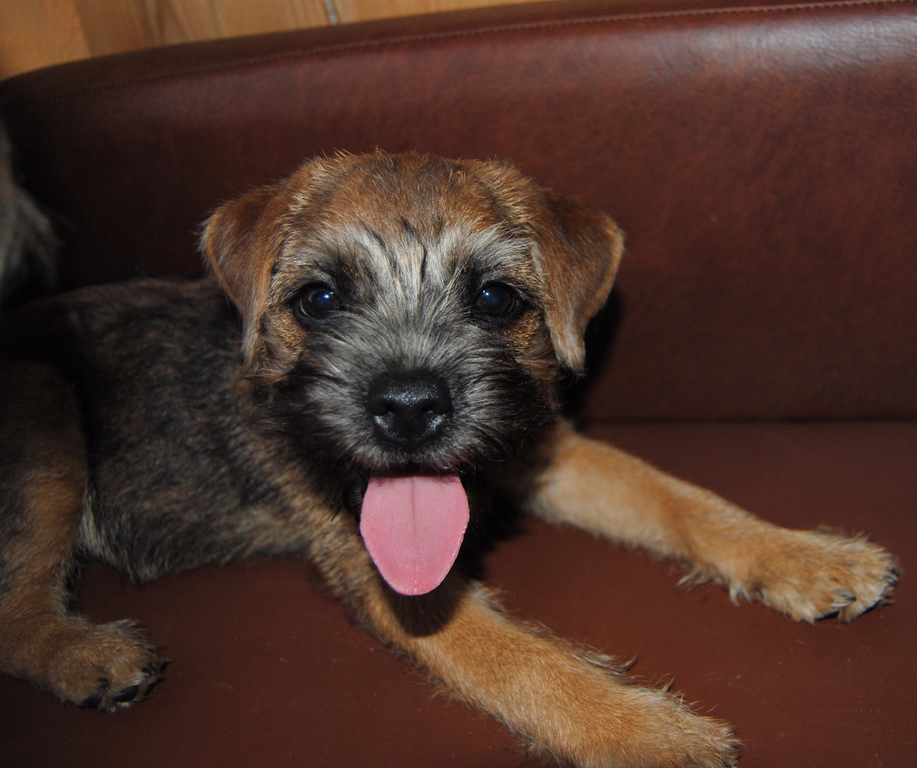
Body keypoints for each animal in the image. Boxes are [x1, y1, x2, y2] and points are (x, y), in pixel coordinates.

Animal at [0, 151, 899, 767]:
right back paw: (89, 655)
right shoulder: (387, 578)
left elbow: (679, 497)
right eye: (318, 299)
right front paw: (652, 735)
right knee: (16, 611)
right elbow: (526, 665)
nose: (407, 406)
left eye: (495, 298)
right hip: (41, 412)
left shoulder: (547, 452)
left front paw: (805, 556)